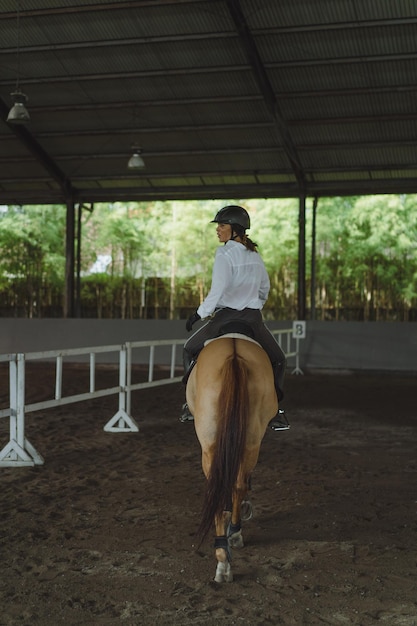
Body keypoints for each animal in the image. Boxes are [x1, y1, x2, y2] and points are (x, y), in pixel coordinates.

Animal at [184, 332, 276, 580]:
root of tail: (234, 355)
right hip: (250, 440)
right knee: (235, 484)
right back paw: (227, 546)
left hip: (213, 444)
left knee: (224, 486)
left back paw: (226, 550)